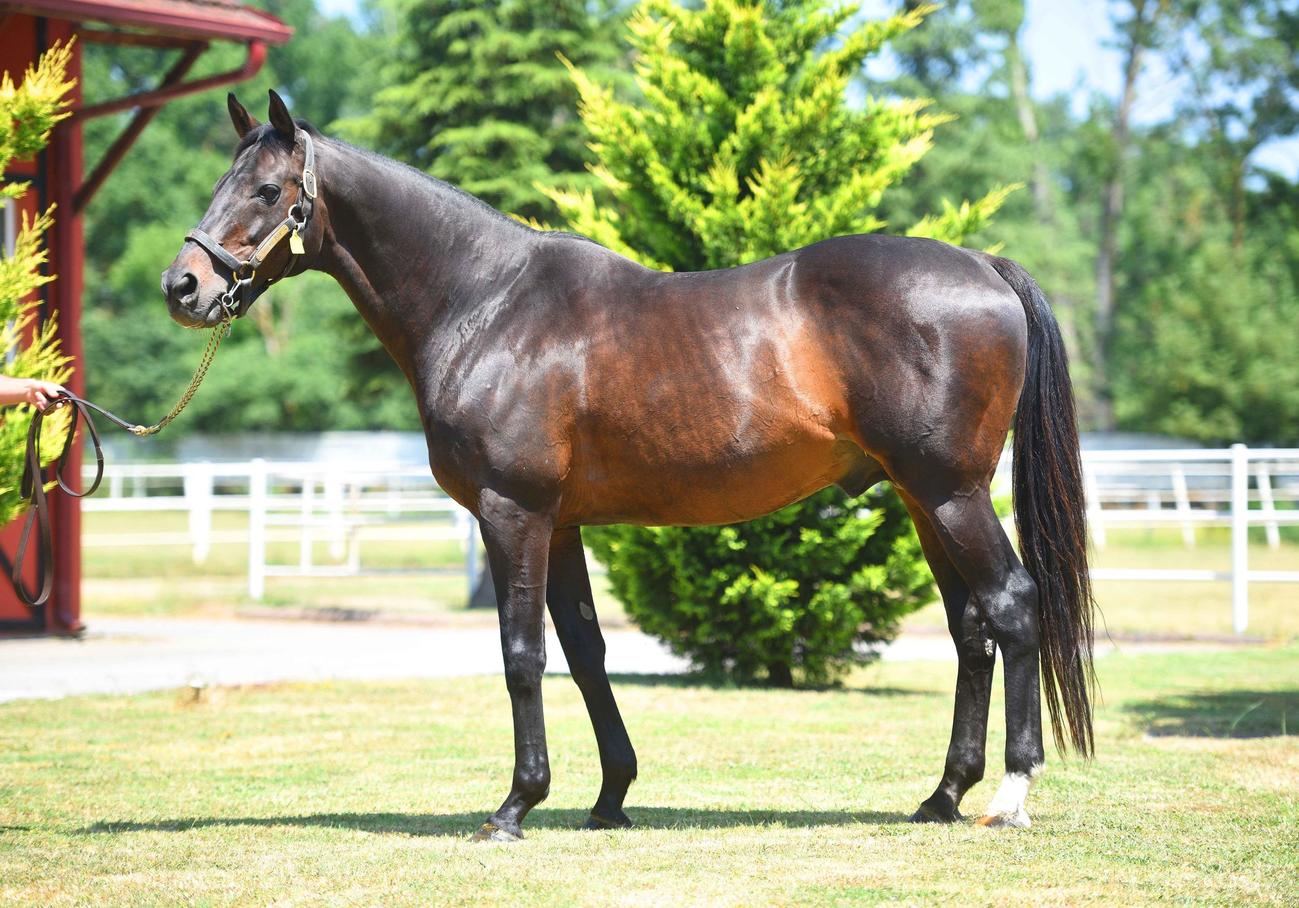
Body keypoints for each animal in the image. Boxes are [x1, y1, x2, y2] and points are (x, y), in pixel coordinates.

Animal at [162, 90, 1093, 840]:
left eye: (268, 190)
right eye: (220, 183)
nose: (182, 286)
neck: (486, 302)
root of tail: (981, 267)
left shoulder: (512, 512)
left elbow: (521, 653)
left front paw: (514, 806)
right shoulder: (561, 523)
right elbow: (585, 650)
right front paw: (610, 797)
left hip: (950, 493)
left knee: (1012, 606)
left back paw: (1008, 796)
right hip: (921, 498)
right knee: (970, 629)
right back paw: (940, 796)